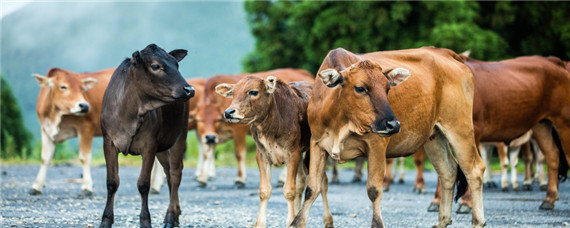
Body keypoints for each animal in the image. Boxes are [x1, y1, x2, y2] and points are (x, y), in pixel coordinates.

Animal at [30, 66, 113, 196]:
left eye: (82, 88)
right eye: (63, 86)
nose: (84, 106)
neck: (56, 115)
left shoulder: (86, 127)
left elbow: (84, 157)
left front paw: (86, 187)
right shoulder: (45, 129)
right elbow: (45, 157)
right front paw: (37, 186)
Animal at [98, 43, 194, 227]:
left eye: (176, 65)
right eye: (155, 66)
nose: (189, 89)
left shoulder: (149, 144)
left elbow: (143, 184)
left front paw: (145, 221)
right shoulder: (108, 142)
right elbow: (112, 182)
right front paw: (106, 220)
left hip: (180, 135)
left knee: (175, 174)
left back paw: (171, 217)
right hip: (163, 146)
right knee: (168, 173)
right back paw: (175, 215)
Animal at [216, 76, 330, 226]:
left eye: (253, 92)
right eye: (233, 93)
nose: (229, 112)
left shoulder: (292, 155)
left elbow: (289, 191)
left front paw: (290, 222)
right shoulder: (262, 156)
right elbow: (264, 190)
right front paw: (260, 224)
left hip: (314, 151)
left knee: (322, 181)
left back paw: (328, 221)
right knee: (301, 182)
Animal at [288, 46, 484, 228]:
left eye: (387, 88)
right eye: (360, 88)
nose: (393, 124)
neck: (340, 121)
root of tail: (448, 54)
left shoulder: (376, 145)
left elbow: (374, 190)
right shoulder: (317, 144)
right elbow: (312, 189)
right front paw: (297, 222)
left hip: (460, 128)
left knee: (474, 170)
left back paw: (477, 220)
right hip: (435, 137)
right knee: (448, 171)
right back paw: (442, 220)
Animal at [426, 55, 568, 214]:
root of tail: (554, 61)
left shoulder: (474, 130)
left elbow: (469, 166)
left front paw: (466, 203)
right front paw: (437, 201)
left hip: (564, 120)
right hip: (541, 125)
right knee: (552, 155)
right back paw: (549, 199)